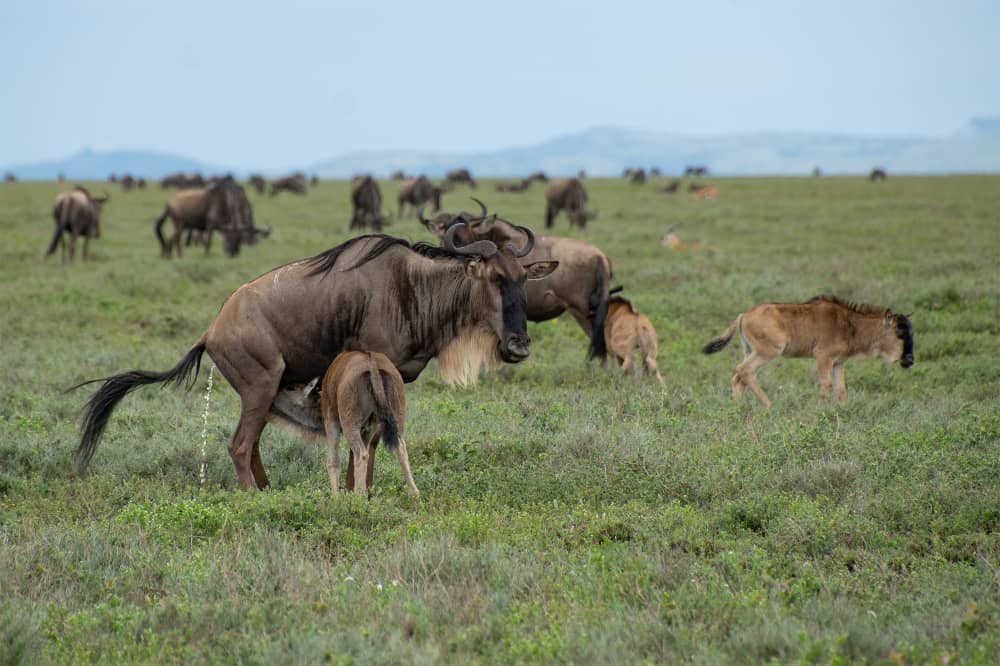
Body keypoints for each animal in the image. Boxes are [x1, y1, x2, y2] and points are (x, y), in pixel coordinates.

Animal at [270, 351, 418, 497]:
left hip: (349, 428)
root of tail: (372, 363)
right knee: (400, 447)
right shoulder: (368, 430)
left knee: (361, 455)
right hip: (396, 420)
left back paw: (359, 497)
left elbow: (334, 462)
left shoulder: (331, 424)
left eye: (290, 388)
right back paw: (415, 494)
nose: (274, 396)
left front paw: (336, 498)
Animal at [702, 295, 914, 407]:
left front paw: (844, 411)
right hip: (768, 352)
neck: (850, 324)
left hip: (749, 351)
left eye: (911, 332)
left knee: (738, 377)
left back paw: (737, 407)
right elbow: (826, 385)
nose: (909, 360)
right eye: (900, 333)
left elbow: (841, 389)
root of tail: (744, 315)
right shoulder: (823, 357)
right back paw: (769, 406)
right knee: (744, 371)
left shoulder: (838, 363)